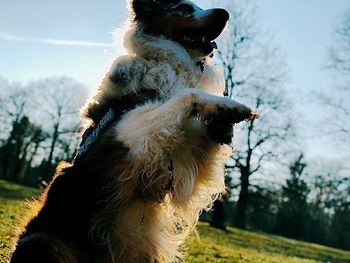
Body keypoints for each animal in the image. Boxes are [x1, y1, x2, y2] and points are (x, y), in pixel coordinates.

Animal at [10, 1, 258, 262]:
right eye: (185, 7)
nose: (225, 13)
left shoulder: (182, 158)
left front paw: (222, 122)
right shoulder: (129, 133)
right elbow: (186, 95)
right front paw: (228, 105)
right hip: (45, 240)